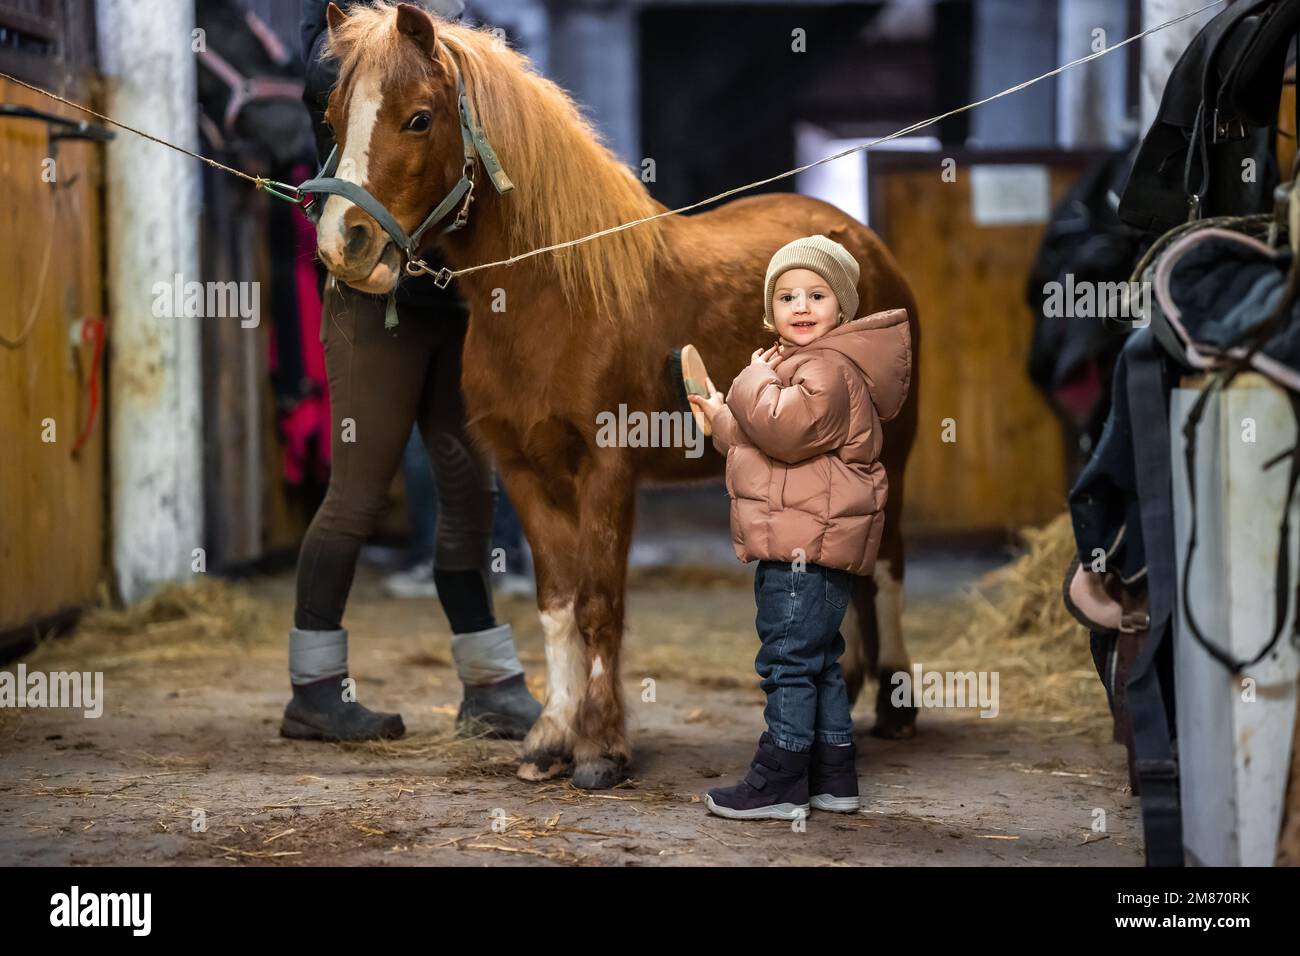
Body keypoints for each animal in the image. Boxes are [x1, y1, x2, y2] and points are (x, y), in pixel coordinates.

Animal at [312, 1, 925, 790]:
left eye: (418, 118)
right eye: (331, 117)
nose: (343, 245)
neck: (556, 297)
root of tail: (860, 242)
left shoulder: (607, 467)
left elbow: (600, 604)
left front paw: (601, 748)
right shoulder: (525, 472)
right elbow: (557, 605)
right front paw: (549, 739)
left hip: (891, 456)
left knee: (887, 563)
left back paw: (897, 706)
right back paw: (842, 689)